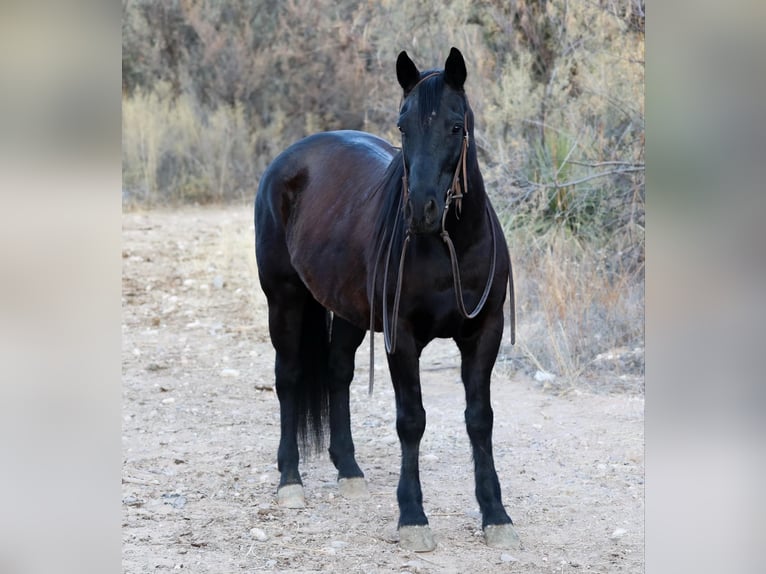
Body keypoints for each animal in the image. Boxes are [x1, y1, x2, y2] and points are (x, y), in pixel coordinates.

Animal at [254, 47, 519, 551]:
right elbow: (411, 420)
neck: (449, 248)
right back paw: (290, 481)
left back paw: (350, 471)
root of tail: (289, 159)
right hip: (285, 300)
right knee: (289, 378)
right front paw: (413, 517)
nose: (422, 211)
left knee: (337, 373)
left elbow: (481, 418)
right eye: (403, 126)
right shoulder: (403, 336)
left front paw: (495, 515)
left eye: (456, 125)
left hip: (347, 311)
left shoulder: (485, 332)